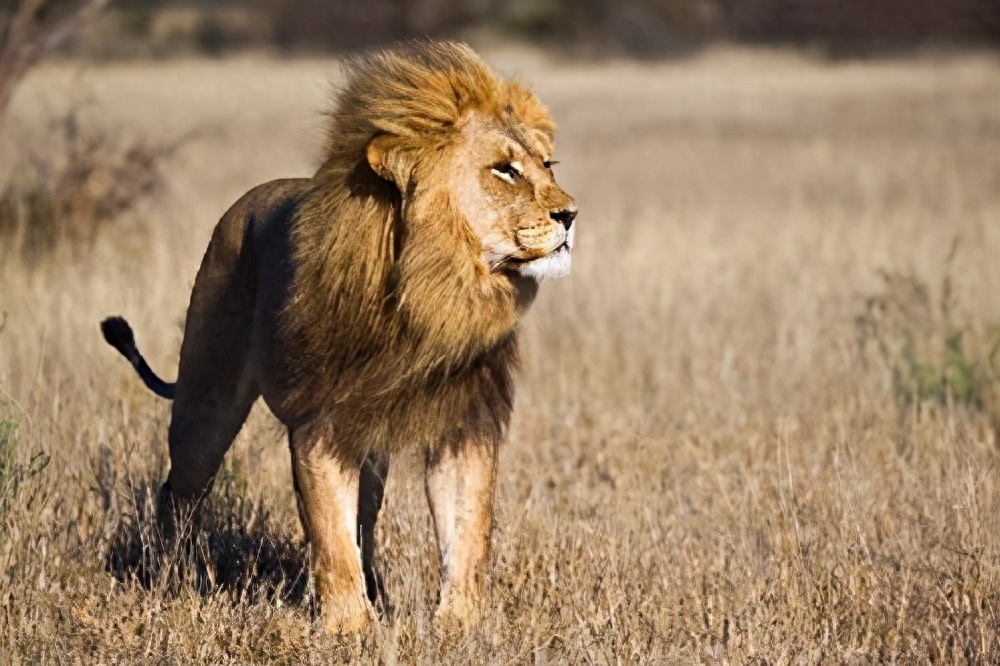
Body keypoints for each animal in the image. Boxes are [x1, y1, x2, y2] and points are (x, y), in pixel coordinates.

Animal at [100, 39, 576, 632]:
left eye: (546, 165)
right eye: (504, 171)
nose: (570, 214)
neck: (432, 294)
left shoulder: (462, 420)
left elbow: (467, 535)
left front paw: (460, 628)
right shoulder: (318, 423)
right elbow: (330, 535)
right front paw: (349, 630)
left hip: (367, 444)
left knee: (365, 520)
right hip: (205, 404)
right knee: (179, 491)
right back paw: (171, 578)